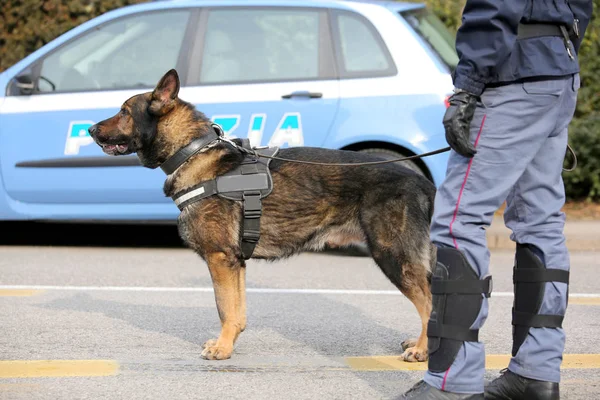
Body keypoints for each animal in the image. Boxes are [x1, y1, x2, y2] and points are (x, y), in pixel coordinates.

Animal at [88, 69, 436, 362]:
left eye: (124, 111)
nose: (90, 129)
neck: (193, 151)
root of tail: (423, 181)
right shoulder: (235, 262)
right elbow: (236, 312)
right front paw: (228, 343)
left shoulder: (220, 259)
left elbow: (224, 308)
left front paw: (222, 349)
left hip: (392, 256)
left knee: (429, 303)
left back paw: (422, 349)